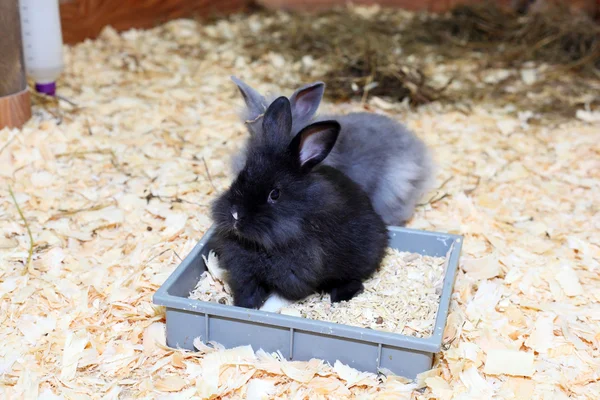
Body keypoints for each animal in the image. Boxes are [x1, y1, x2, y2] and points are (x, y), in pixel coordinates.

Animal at [211, 95, 390, 308]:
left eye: (275, 194)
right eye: (241, 176)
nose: (235, 215)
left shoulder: (293, 277)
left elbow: (280, 297)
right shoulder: (244, 273)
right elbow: (248, 291)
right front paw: (245, 306)